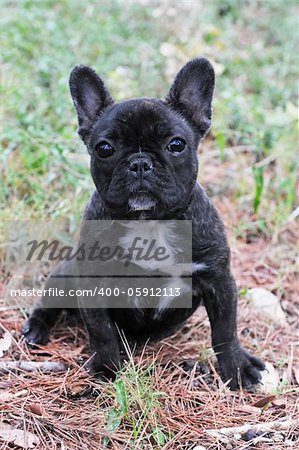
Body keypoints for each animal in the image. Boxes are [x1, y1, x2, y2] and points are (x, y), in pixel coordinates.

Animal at [22, 58, 264, 390]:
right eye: (105, 149)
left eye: (176, 144)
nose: (139, 162)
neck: (150, 221)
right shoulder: (92, 283)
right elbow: (101, 330)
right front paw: (107, 367)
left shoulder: (219, 280)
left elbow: (225, 330)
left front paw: (238, 367)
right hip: (64, 272)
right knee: (49, 304)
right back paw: (36, 328)